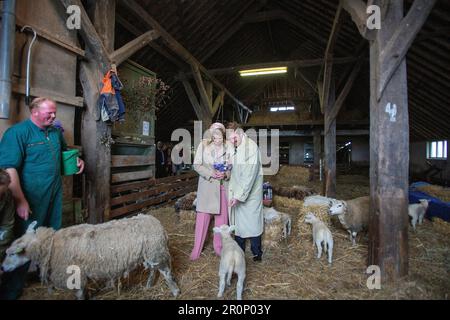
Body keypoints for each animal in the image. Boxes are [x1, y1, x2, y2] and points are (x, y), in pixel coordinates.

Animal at [2, 214, 181, 298]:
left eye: (12, 253)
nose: (2, 268)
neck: (51, 246)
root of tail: (155, 221)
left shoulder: (77, 274)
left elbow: (79, 294)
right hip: (150, 253)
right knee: (153, 270)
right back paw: (149, 285)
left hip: (156, 252)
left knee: (166, 272)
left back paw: (175, 291)